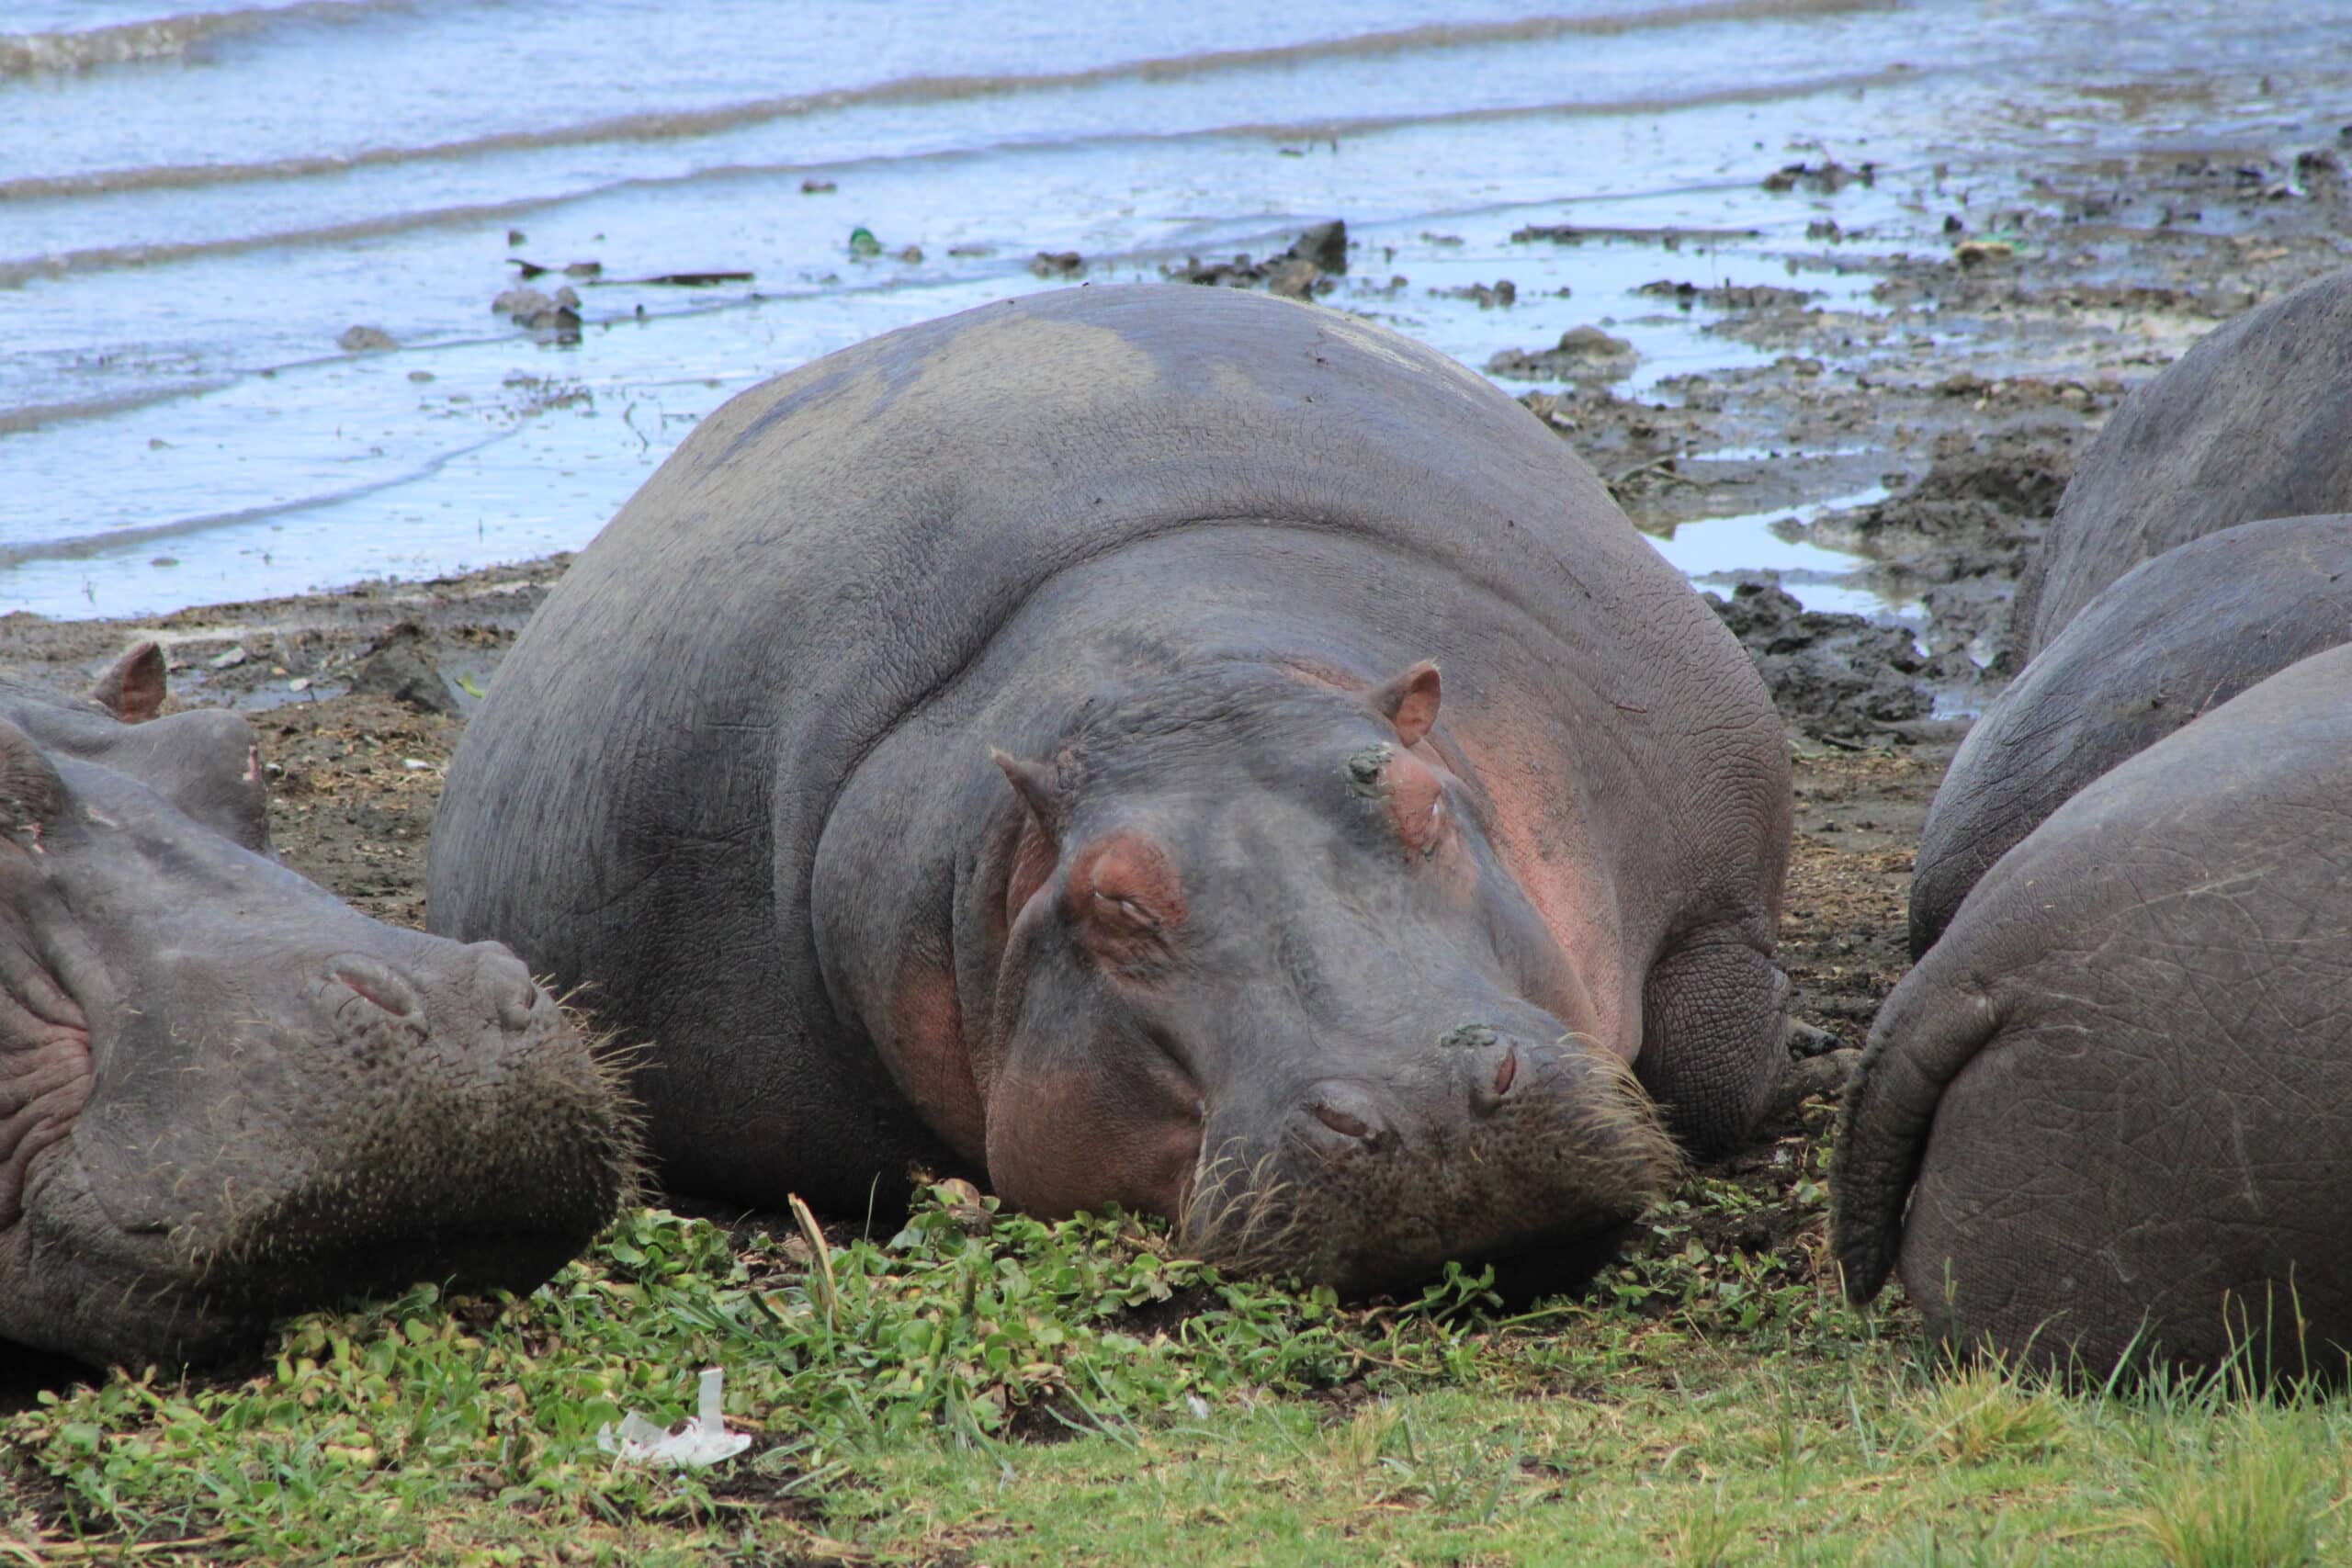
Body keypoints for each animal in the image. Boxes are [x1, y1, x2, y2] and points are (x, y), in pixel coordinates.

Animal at [428, 284, 1794, 1294]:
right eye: (1111, 902)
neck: (1185, 674)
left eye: (1421, 799)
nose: (1429, 1107)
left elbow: (1724, 1055)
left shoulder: (1712, 860)